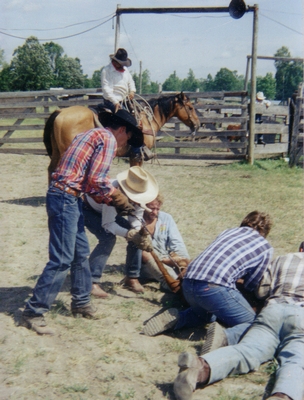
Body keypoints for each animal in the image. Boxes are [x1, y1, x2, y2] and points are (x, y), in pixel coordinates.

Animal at [42, 92, 200, 180]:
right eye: (190, 107)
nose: (197, 125)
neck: (146, 120)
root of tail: (60, 113)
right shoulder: (137, 155)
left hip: (57, 152)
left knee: (51, 169)